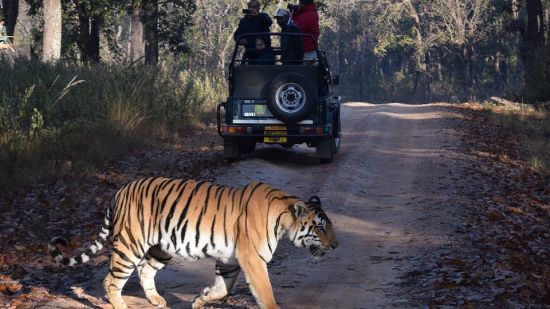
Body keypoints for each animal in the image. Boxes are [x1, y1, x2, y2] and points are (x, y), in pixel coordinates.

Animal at [49, 177, 338, 308]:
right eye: (320, 227)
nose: (336, 246)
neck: (283, 219)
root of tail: (120, 189)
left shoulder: (230, 260)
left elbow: (222, 289)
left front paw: (201, 299)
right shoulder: (253, 259)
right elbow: (265, 293)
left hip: (160, 248)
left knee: (144, 271)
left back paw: (157, 300)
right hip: (130, 245)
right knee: (110, 281)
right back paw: (121, 306)